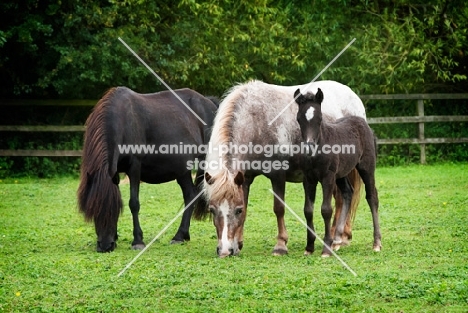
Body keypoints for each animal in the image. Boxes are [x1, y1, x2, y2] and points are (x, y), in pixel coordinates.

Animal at [77, 86, 218, 252]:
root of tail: (209, 103)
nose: (105, 246)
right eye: (93, 209)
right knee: (190, 195)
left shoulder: (134, 167)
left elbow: (134, 203)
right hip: (182, 170)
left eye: (113, 209)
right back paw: (182, 235)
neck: (121, 120)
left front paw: (138, 240)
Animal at [193, 80, 366, 256]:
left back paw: (337, 239)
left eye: (237, 210)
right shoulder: (245, 179)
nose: (225, 251)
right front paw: (239, 243)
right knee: (345, 195)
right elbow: (247, 204)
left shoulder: (278, 176)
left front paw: (281, 245)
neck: (256, 122)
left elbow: (279, 208)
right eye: (212, 210)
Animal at [296, 87, 380, 254]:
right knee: (348, 193)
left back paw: (376, 243)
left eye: (320, 119)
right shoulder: (308, 179)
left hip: (366, 167)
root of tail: (364, 124)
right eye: (299, 119)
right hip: (342, 173)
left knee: (372, 196)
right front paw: (309, 247)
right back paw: (337, 240)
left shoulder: (328, 177)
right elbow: (308, 210)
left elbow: (326, 209)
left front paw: (326, 249)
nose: (308, 147)